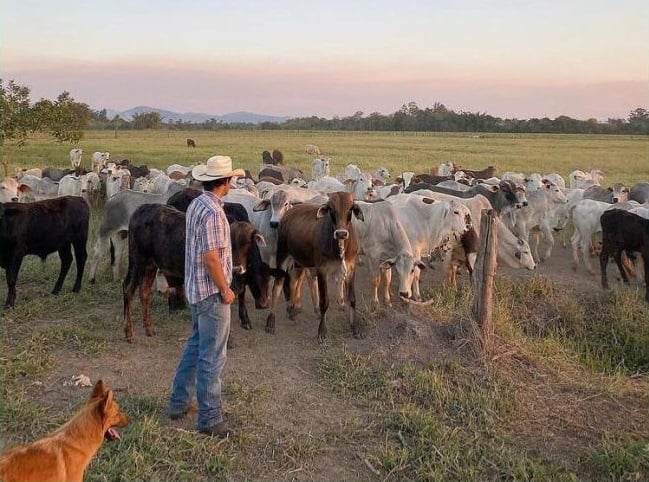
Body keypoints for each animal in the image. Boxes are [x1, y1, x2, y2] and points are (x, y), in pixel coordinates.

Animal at [264, 190, 364, 340]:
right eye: (331, 209)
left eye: (350, 208)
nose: (341, 233)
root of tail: (290, 211)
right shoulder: (322, 270)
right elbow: (324, 302)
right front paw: (322, 331)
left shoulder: (351, 268)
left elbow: (352, 299)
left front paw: (355, 328)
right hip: (282, 254)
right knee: (277, 286)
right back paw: (271, 321)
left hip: (300, 261)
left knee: (294, 282)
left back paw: (292, 309)